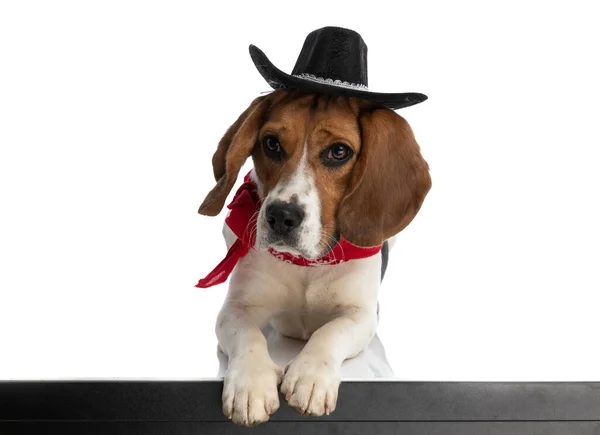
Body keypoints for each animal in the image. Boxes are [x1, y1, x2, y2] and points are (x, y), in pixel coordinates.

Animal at [198, 88, 432, 426]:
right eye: (271, 143)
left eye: (339, 151)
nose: (281, 216)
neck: (307, 264)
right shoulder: (236, 308)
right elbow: (249, 336)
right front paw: (250, 384)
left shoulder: (363, 314)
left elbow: (329, 331)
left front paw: (310, 377)